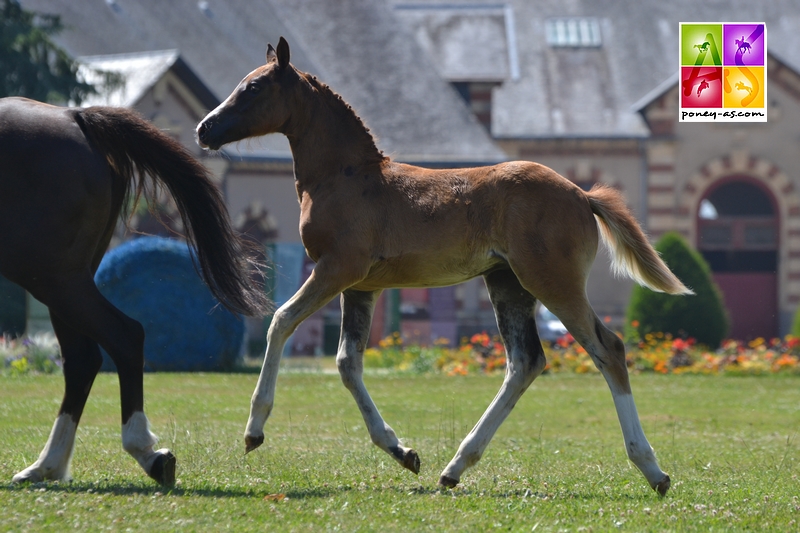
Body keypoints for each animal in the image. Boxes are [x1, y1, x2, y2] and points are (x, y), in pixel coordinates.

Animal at [0, 96, 268, 486]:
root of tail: (74, 117)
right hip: (65, 280)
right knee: (83, 359)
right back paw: (47, 465)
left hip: (51, 276)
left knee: (123, 336)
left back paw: (143, 450)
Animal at [197, 37, 692, 494]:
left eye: (254, 87)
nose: (204, 129)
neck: (347, 177)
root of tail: (582, 194)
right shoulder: (361, 286)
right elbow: (347, 363)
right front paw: (402, 451)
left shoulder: (337, 269)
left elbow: (281, 321)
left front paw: (254, 430)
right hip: (507, 283)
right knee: (525, 362)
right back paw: (455, 466)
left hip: (553, 282)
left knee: (608, 349)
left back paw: (652, 468)